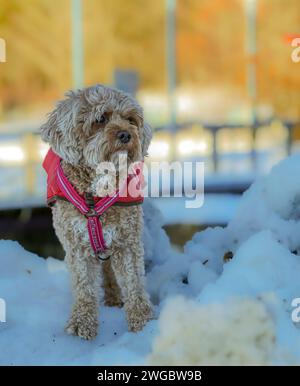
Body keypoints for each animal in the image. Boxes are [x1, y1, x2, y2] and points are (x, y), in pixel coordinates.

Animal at [41, 85, 154, 340]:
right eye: (100, 119)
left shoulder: (127, 240)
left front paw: (142, 322)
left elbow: (134, 282)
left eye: (131, 119)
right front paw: (82, 322)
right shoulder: (76, 245)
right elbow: (84, 286)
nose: (126, 134)